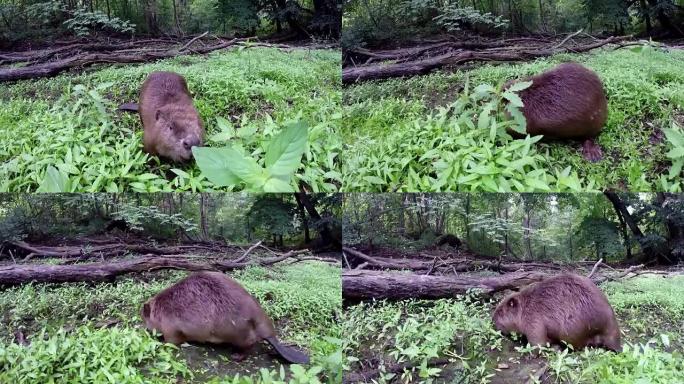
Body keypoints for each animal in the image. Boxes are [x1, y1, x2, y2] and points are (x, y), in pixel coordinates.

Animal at [141, 270, 310, 364]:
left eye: (145, 318)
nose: (147, 330)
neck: (162, 308)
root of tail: (269, 334)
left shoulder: (171, 326)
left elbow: (173, 341)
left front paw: (161, 343)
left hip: (234, 332)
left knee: (249, 344)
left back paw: (236, 356)